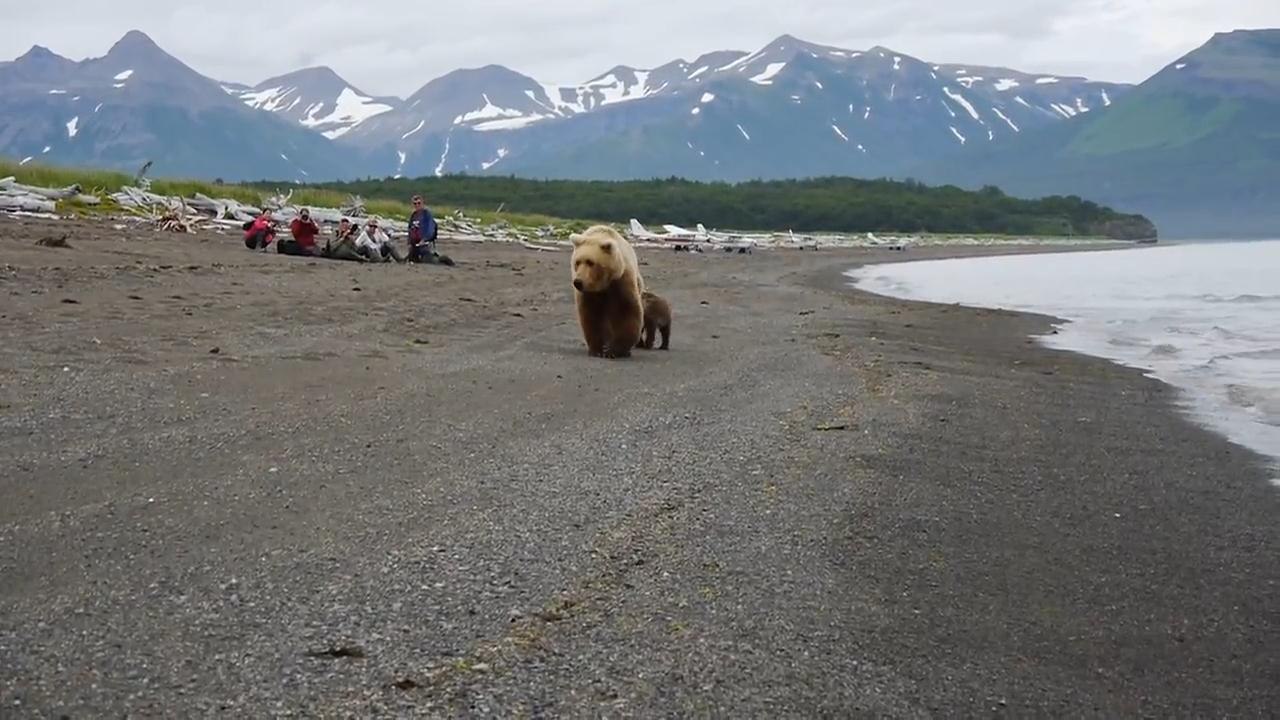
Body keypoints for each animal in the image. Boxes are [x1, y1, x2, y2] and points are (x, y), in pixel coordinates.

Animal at [570, 225, 645, 358]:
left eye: (590, 262)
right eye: (577, 262)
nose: (578, 282)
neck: (602, 285)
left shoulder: (620, 283)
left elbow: (627, 312)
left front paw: (615, 350)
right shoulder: (588, 294)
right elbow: (590, 316)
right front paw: (597, 349)